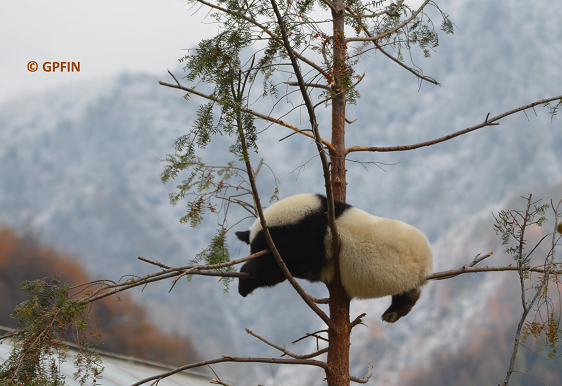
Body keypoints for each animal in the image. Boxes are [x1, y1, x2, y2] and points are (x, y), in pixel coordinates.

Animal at [234, 193, 430, 322]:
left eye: (254, 250)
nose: (252, 254)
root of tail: (427, 262)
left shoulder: (301, 241)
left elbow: (274, 270)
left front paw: (244, 283)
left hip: (402, 272)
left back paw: (393, 312)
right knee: (407, 293)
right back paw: (395, 312)